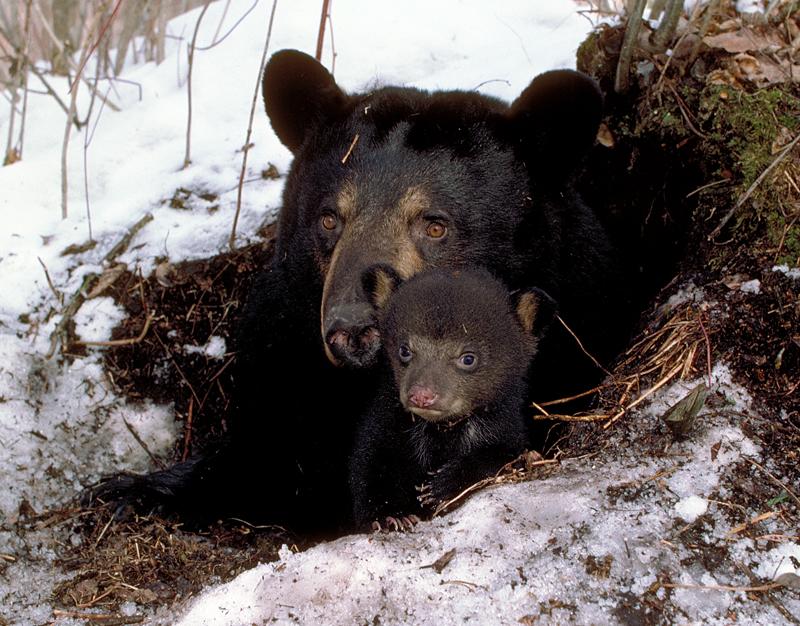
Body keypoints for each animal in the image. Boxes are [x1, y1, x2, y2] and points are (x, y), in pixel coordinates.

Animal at [350, 266, 556, 528]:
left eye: (468, 358)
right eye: (404, 350)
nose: (421, 395)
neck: (444, 430)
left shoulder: (502, 426)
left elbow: (503, 454)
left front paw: (440, 485)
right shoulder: (388, 423)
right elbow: (372, 463)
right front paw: (391, 515)